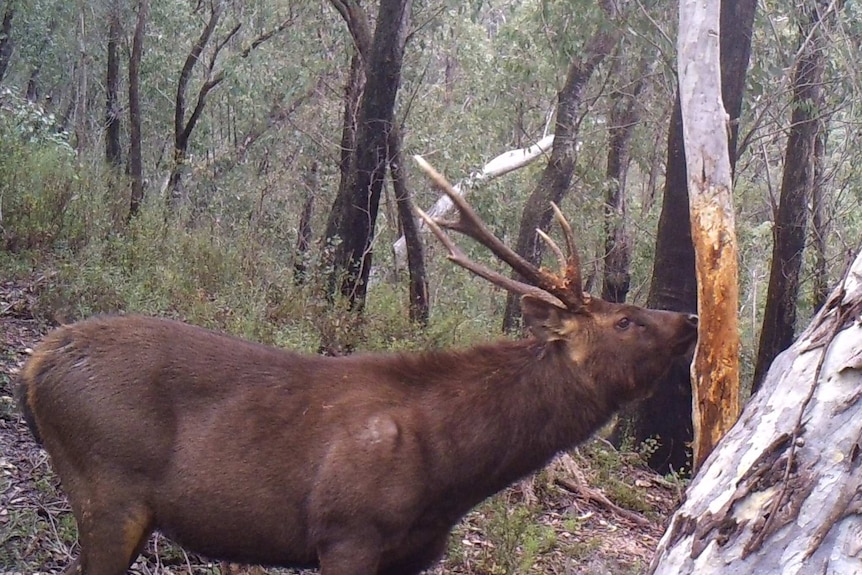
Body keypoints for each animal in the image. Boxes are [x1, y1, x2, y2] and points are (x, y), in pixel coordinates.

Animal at [16, 158, 700, 575]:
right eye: (626, 320)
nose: (690, 318)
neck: (453, 472)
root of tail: (34, 365)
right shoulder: (348, 532)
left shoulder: (413, 555)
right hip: (107, 486)